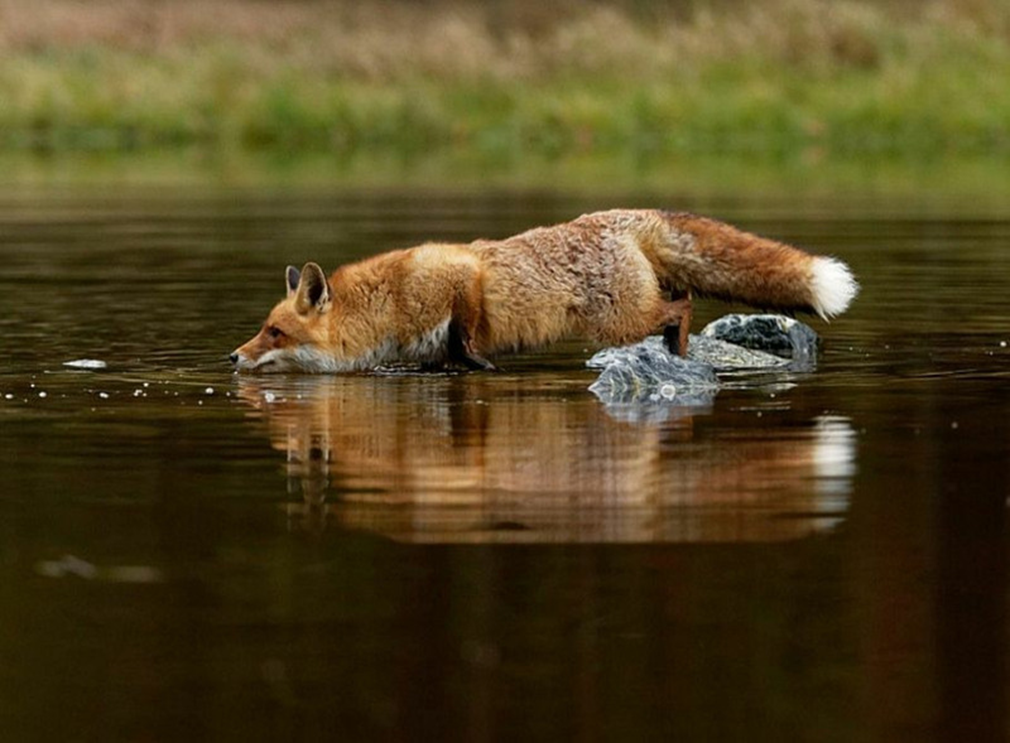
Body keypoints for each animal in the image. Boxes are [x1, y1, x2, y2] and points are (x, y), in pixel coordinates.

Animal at [231, 207, 860, 371]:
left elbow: (465, 333)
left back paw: (677, 353)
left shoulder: (459, 274)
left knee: (680, 306)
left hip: (616, 319)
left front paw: (481, 362)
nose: (232, 357)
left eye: (274, 331)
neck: (385, 303)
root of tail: (623, 215)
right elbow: (447, 356)